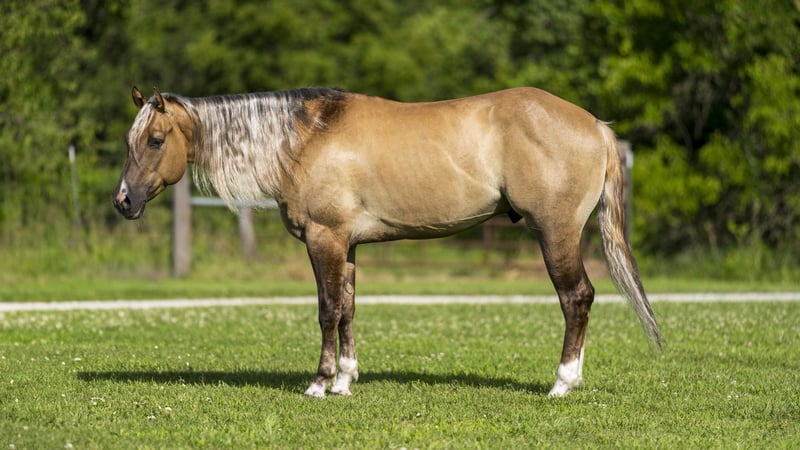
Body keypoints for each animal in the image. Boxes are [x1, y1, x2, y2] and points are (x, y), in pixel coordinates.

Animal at [113, 86, 662, 397]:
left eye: (155, 140)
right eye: (129, 141)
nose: (123, 201)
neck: (305, 138)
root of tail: (596, 126)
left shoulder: (324, 239)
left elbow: (327, 310)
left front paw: (319, 383)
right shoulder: (347, 244)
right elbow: (349, 309)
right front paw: (345, 380)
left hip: (556, 233)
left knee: (577, 299)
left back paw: (563, 384)